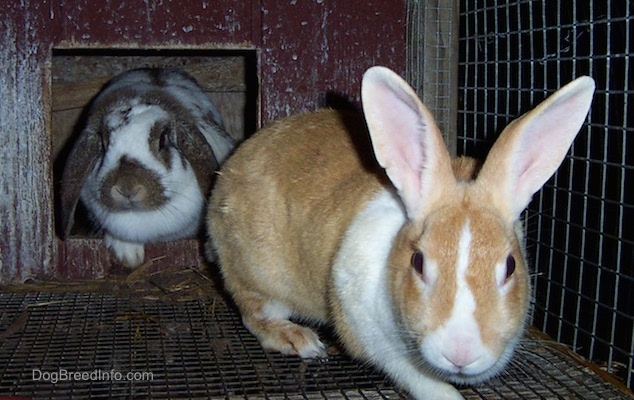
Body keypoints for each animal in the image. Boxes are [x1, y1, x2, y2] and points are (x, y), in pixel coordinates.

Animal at [206, 65, 592, 396]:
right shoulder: (366, 328)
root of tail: (225, 179)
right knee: (254, 315)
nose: (461, 353)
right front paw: (445, 393)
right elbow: (413, 375)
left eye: (510, 267)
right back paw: (298, 339)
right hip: (259, 277)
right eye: (418, 262)